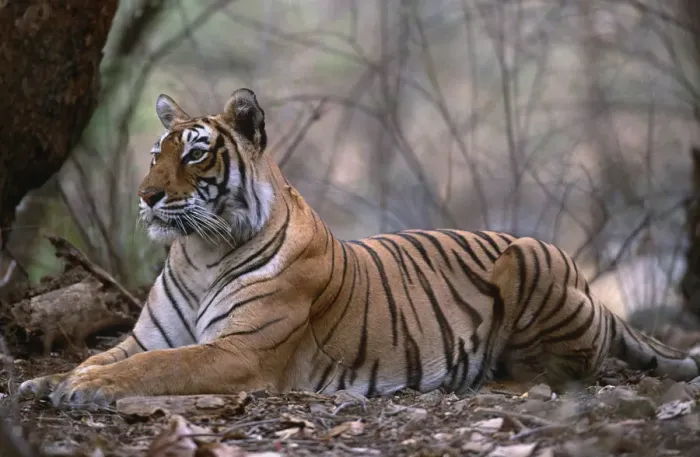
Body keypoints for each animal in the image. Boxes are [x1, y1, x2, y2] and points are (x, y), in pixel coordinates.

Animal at [19, 88, 700, 409]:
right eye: (154, 153)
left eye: (194, 153)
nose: (147, 196)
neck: (199, 253)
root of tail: (592, 291)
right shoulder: (145, 336)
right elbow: (109, 355)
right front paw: (47, 381)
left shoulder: (238, 350)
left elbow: (158, 368)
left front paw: (82, 389)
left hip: (531, 258)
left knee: (566, 371)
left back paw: (485, 381)